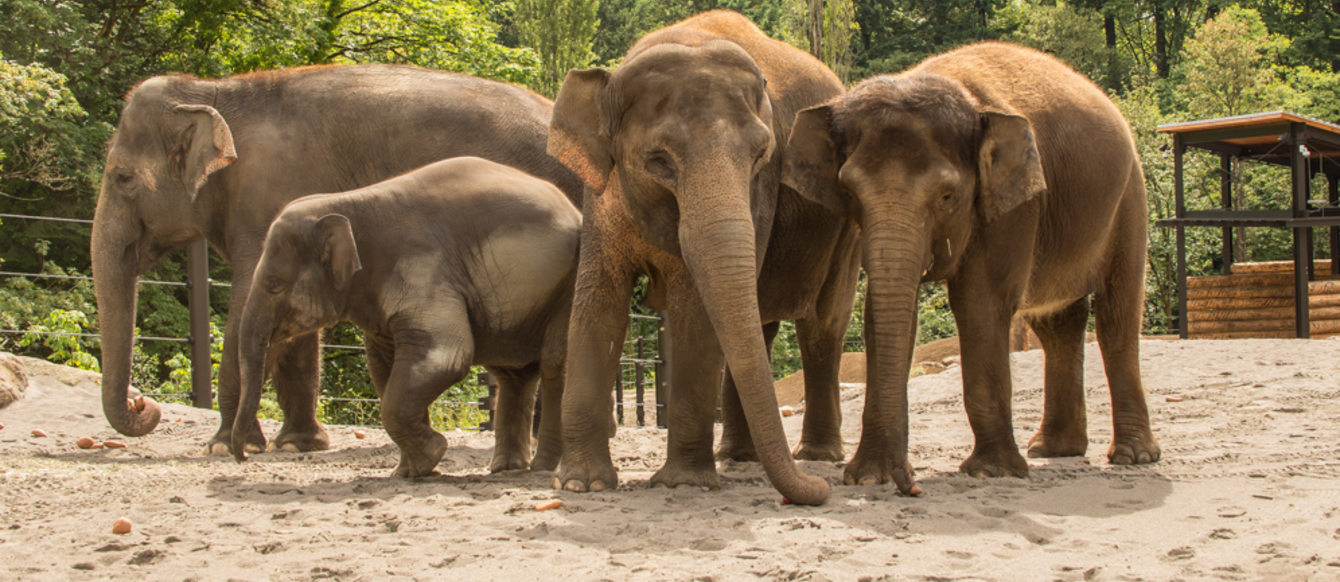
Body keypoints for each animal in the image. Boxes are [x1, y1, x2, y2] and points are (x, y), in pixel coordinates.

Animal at [235, 155, 581, 477]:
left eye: (274, 285)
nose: (244, 457)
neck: (347, 204)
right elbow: (384, 368)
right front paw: (410, 472)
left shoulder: (422, 267)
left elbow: (446, 357)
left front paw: (432, 454)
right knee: (512, 373)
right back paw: (506, 469)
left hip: (565, 289)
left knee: (553, 364)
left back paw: (541, 468)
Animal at [546, 11, 857, 506]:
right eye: (658, 161)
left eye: (761, 154)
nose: (820, 491)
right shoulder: (601, 197)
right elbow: (597, 305)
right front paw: (580, 484)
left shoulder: (761, 192)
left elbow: (696, 310)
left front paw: (684, 482)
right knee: (761, 324)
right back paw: (739, 456)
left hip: (844, 228)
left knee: (822, 327)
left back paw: (816, 455)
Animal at [782, 43, 1163, 493]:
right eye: (849, 192)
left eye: (947, 196)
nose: (908, 482)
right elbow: (884, 307)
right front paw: (868, 477)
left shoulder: (1014, 205)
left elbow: (980, 302)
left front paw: (991, 471)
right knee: (1058, 324)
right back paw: (1053, 450)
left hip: (1129, 200)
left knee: (1117, 316)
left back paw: (1133, 457)